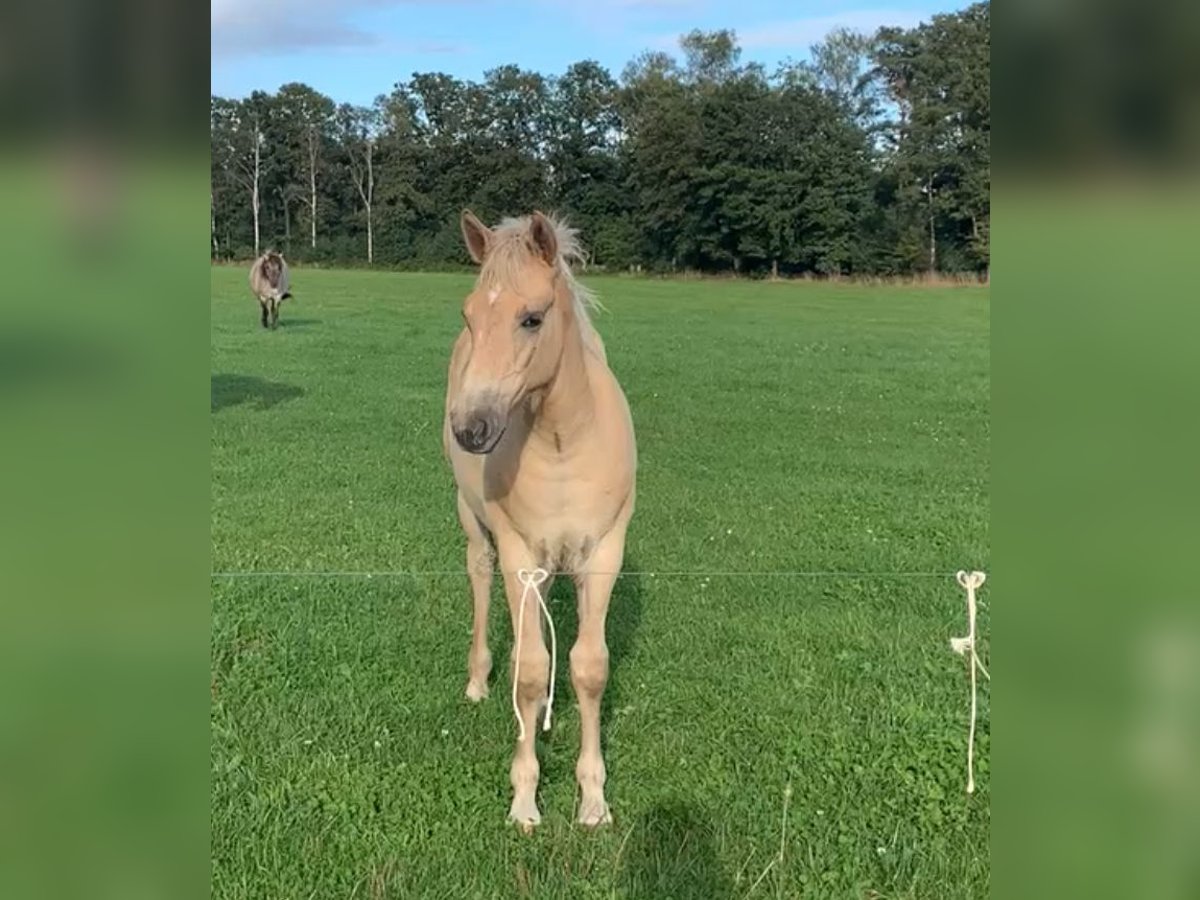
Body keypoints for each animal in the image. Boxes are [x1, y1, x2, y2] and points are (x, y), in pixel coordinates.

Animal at [446, 211, 638, 830]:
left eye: (532, 318)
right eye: (469, 315)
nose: (471, 428)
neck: (562, 442)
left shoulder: (603, 553)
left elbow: (589, 667)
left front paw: (594, 799)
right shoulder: (519, 553)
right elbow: (531, 671)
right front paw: (525, 798)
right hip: (474, 523)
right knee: (479, 577)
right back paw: (478, 680)